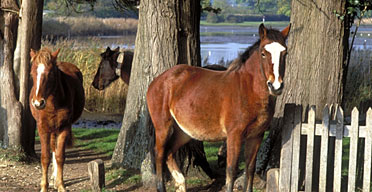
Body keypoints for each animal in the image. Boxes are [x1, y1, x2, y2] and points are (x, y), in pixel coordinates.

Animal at [29, 48, 84, 192]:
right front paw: (44, 186)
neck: (52, 103)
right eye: (32, 73)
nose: (38, 103)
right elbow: (45, 157)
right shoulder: (43, 129)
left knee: (55, 149)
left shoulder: (64, 128)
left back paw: (54, 179)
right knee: (52, 148)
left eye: (50, 74)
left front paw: (60, 185)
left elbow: (60, 156)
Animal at [147, 24, 290, 192]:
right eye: (263, 53)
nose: (276, 86)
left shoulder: (256, 136)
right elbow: (231, 170)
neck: (247, 89)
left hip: (184, 132)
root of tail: (157, 80)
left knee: (169, 153)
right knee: (159, 154)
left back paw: (181, 184)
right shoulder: (234, 135)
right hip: (163, 127)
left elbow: (250, 169)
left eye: (285, 53)